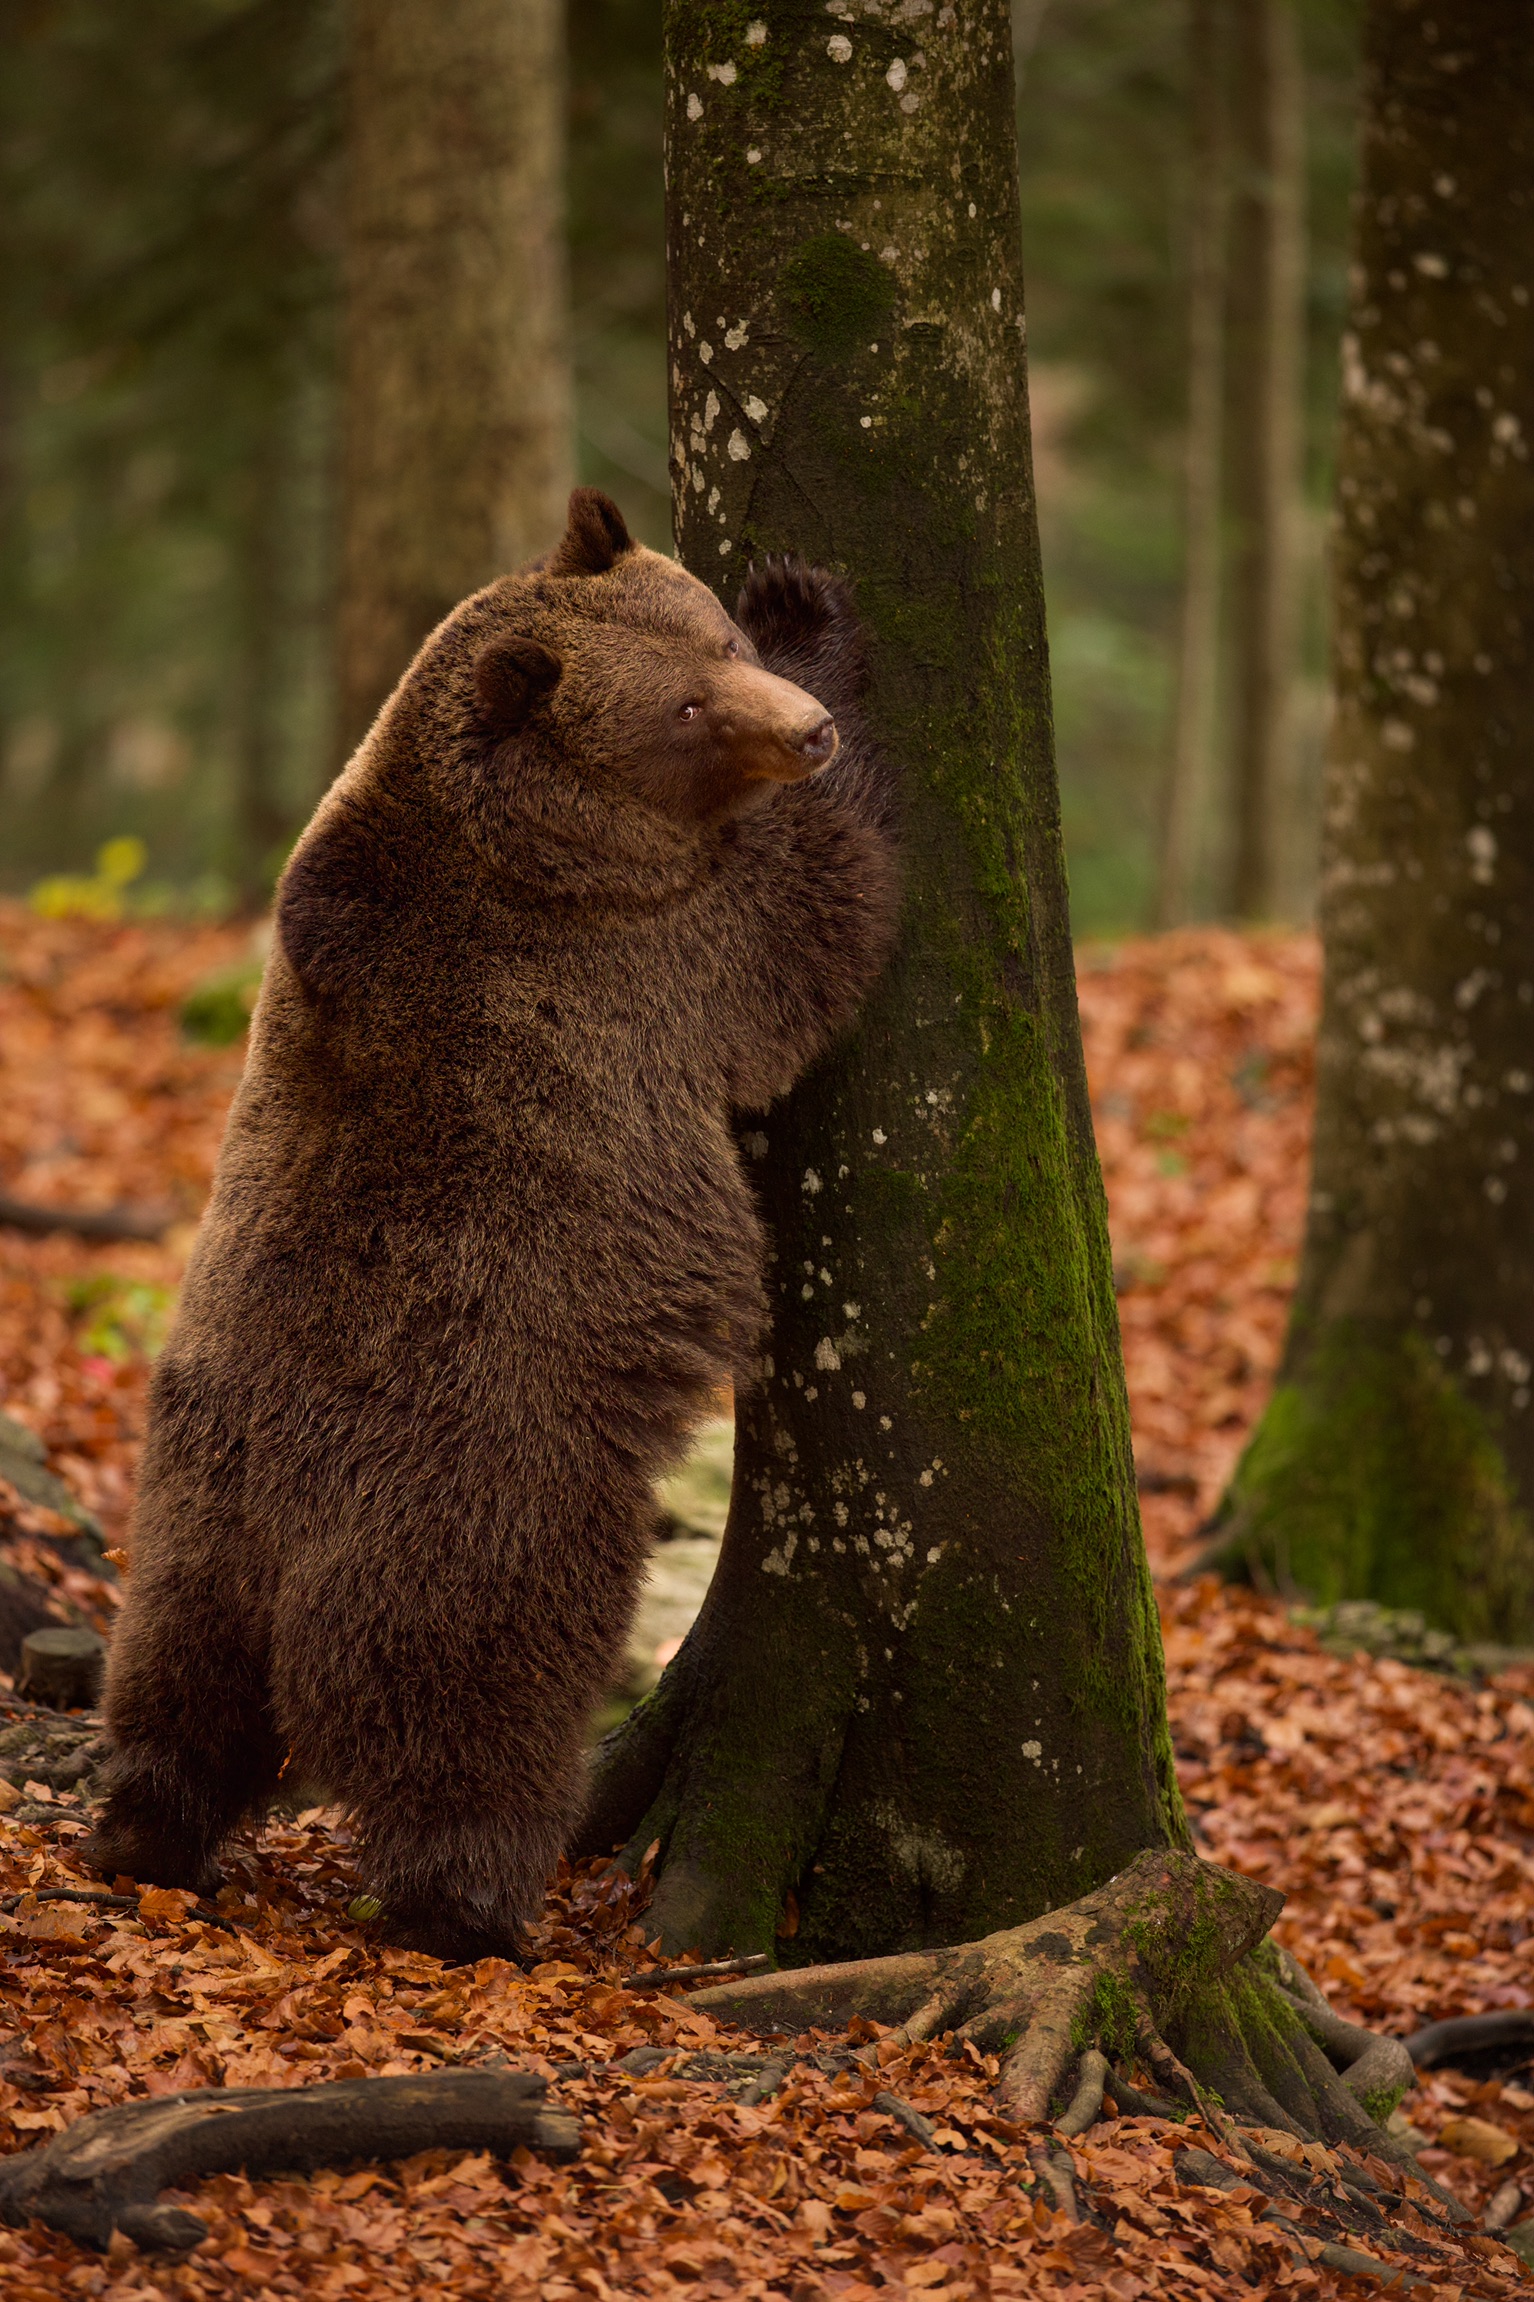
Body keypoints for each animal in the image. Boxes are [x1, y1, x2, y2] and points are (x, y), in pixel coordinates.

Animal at [84, 489, 901, 1960]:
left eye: (709, 633)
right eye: (686, 705)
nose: (800, 730)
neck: (521, 838)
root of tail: (281, 1581)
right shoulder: (648, 955)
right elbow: (819, 917)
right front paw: (823, 628)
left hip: (182, 1532)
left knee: (176, 1705)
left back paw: (144, 1835)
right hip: (487, 1531)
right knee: (469, 1731)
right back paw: (471, 1907)